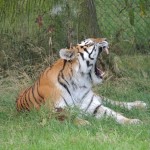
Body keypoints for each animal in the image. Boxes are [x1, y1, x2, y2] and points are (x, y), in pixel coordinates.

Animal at [16, 37, 146, 124]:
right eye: (90, 43)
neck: (78, 83)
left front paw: (132, 121)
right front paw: (85, 123)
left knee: (116, 102)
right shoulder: (51, 110)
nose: (105, 39)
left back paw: (140, 104)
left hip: (98, 97)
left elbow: (113, 114)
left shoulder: (92, 105)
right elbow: (68, 116)